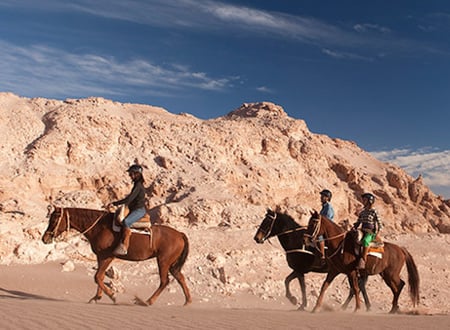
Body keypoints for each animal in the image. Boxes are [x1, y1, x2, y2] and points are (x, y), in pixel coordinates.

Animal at [40, 208, 192, 306]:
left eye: (54, 219)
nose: (45, 238)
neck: (100, 227)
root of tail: (180, 235)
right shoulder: (101, 257)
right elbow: (100, 277)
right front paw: (97, 297)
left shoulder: (107, 257)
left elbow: (97, 277)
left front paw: (113, 296)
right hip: (172, 264)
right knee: (180, 278)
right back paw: (187, 301)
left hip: (163, 261)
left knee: (164, 281)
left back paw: (147, 301)